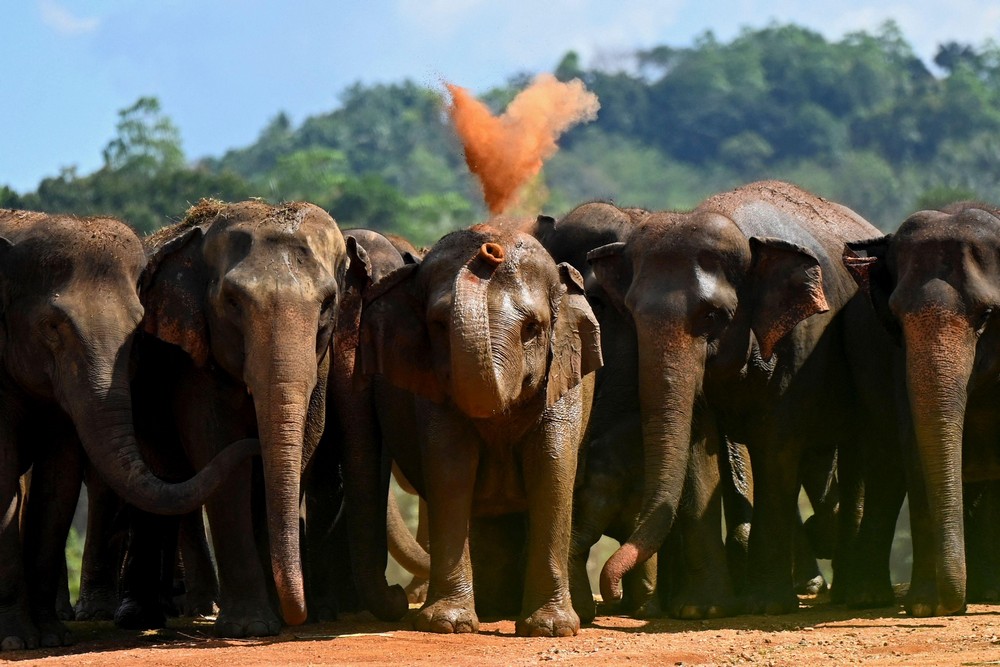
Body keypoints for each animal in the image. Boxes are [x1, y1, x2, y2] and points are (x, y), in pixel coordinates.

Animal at [0, 210, 256, 652]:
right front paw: (18, 641)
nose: (253, 442)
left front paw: (50, 638)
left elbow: (59, 482)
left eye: (139, 329)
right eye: (51, 325)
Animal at [121, 198, 406, 636]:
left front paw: (278, 617)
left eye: (328, 304)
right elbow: (215, 443)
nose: (401, 594)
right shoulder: (194, 353)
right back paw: (144, 615)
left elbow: (307, 437)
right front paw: (250, 627)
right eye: (232, 302)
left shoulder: (319, 360)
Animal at [358, 223, 600, 636]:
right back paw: (491, 607)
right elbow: (451, 465)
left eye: (533, 328)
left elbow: (551, 465)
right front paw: (446, 624)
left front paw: (550, 629)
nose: (489, 250)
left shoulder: (564, 376)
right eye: (438, 326)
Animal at [584, 179, 892, 616]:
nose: (610, 592)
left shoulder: (803, 345)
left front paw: (766, 606)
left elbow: (776, 445)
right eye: (631, 313)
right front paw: (702, 610)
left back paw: (854, 592)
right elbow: (699, 447)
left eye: (712, 316)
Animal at [848, 202, 1000, 616]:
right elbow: (916, 449)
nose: (955, 605)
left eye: (987, 315)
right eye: (896, 318)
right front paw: (925, 607)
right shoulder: (899, 363)